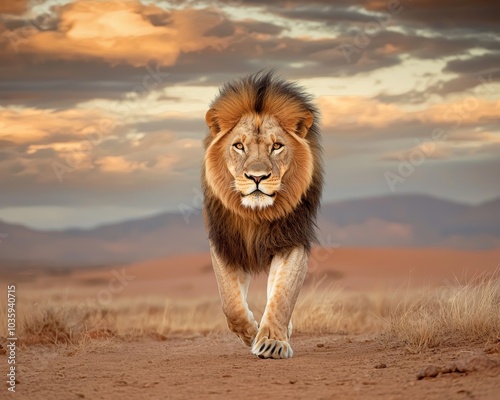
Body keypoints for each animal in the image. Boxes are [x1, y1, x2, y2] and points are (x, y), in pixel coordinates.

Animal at [203, 69, 324, 360]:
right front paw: (250, 332)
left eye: (277, 146)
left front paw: (272, 342)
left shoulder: (292, 239)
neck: (255, 216)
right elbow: (230, 303)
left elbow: (282, 295)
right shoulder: (225, 242)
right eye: (238, 146)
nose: (257, 177)